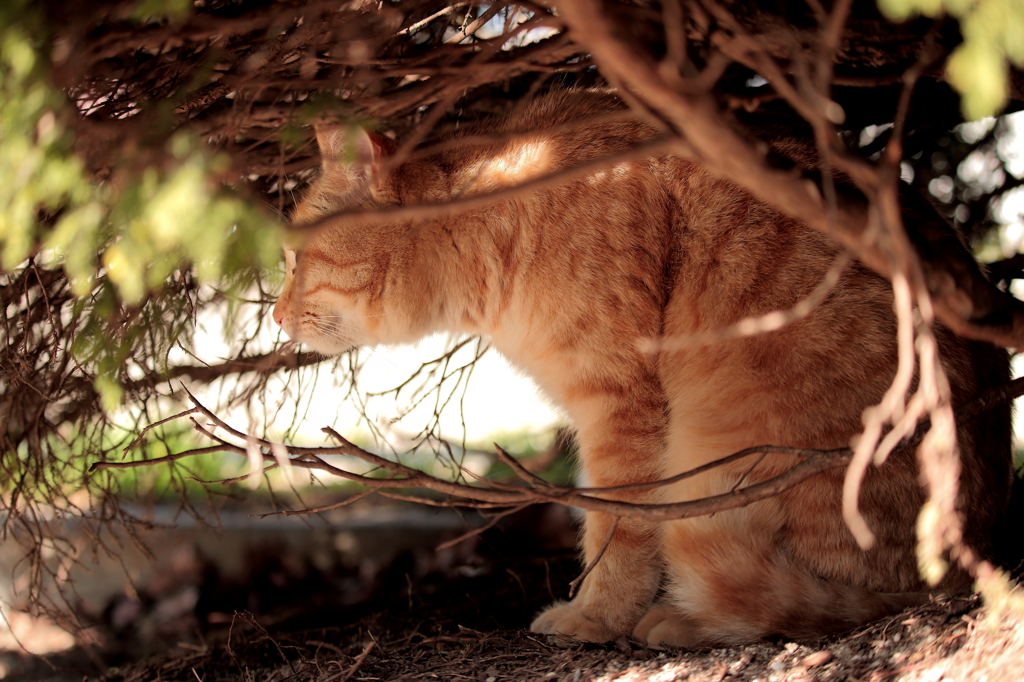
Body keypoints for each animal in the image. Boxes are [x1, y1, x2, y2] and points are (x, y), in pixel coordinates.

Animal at [268, 89, 1011, 643]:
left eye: (294, 260)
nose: (273, 315)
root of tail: (957, 571)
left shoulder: (620, 408)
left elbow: (616, 526)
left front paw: (596, 617)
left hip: (721, 458)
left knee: (790, 605)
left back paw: (678, 620)